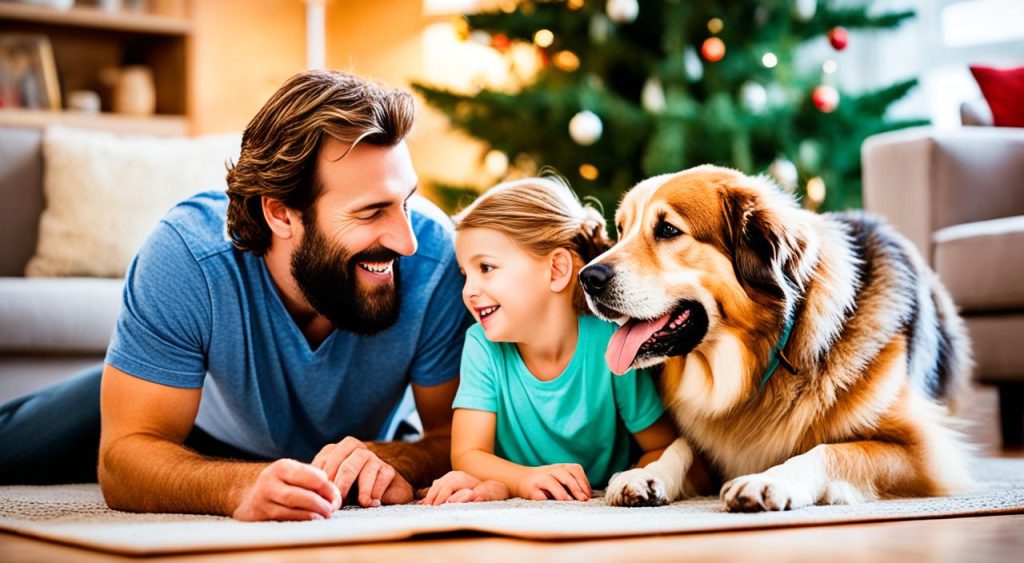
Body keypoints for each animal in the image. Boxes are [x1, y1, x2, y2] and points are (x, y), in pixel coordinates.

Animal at [581, 165, 970, 513]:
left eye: (667, 229)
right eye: (621, 230)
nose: (588, 277)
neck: (772, 353)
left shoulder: (926, 454)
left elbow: (828, 450)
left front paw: (770, 480)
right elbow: (682, 446)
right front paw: (647, 472)